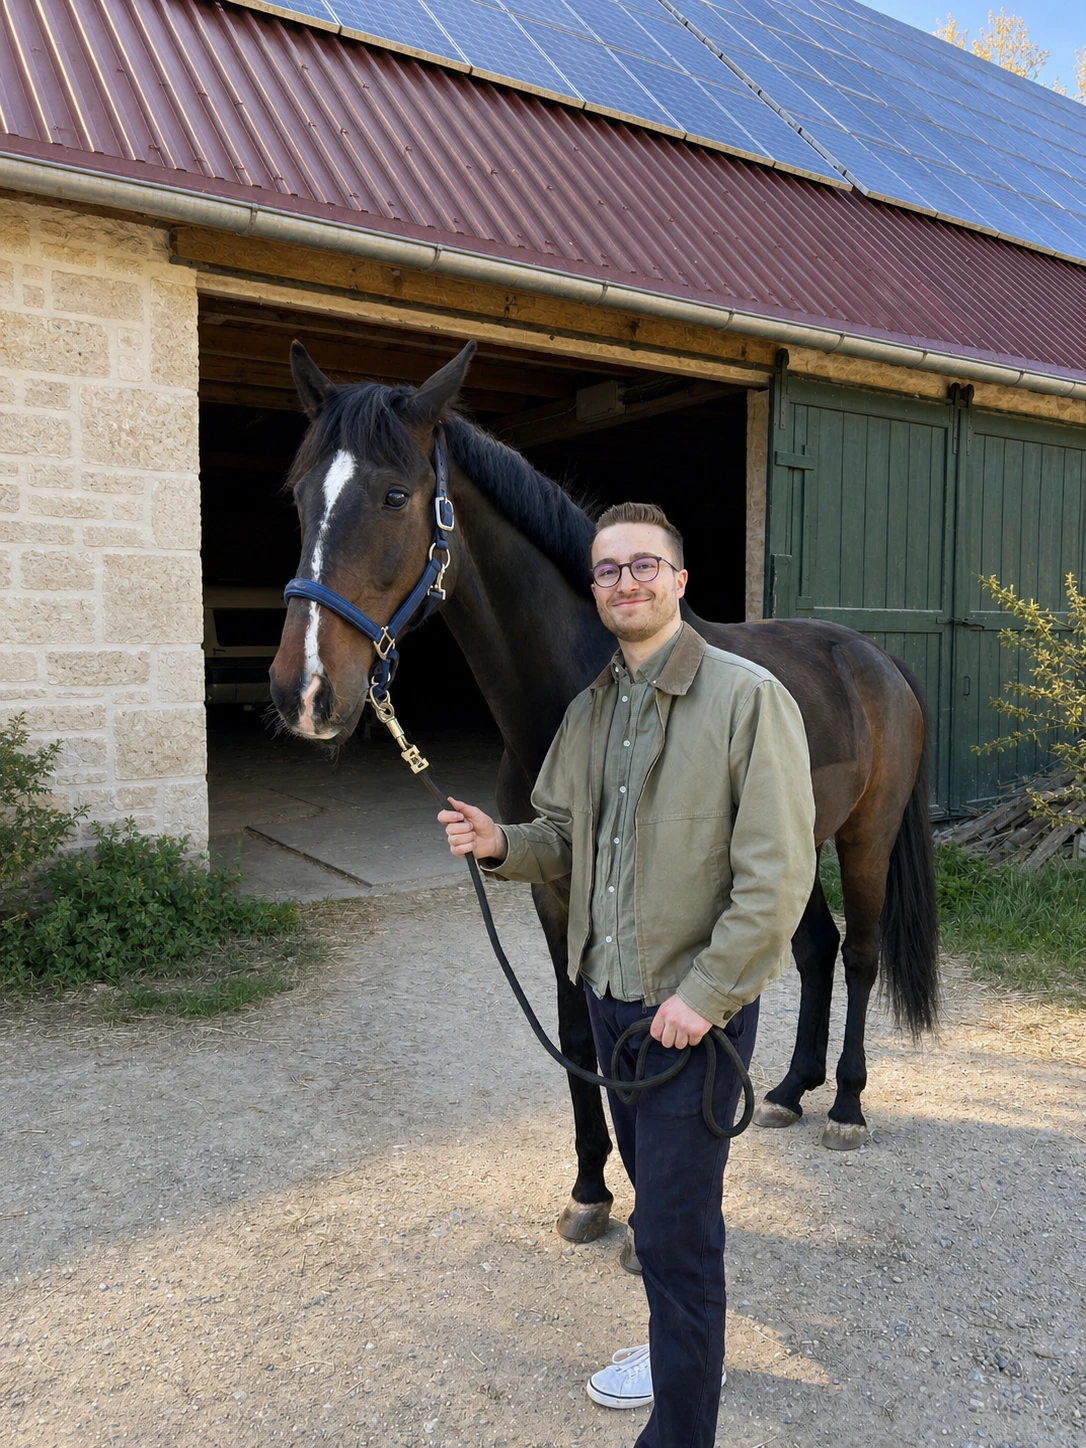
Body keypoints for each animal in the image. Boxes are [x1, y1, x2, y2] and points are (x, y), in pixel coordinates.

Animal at [269, 339, 938, 1245]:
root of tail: (874, 658)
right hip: (791, 851)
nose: (303, 693)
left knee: (861, 956)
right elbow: (576, 1036)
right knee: (814, 950)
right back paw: (790, 1092)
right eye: (300, 495)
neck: (583, 686)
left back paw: (847, 1109)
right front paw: (590, 1188)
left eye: (396, 495)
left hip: (865, 835)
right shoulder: (556, 895)